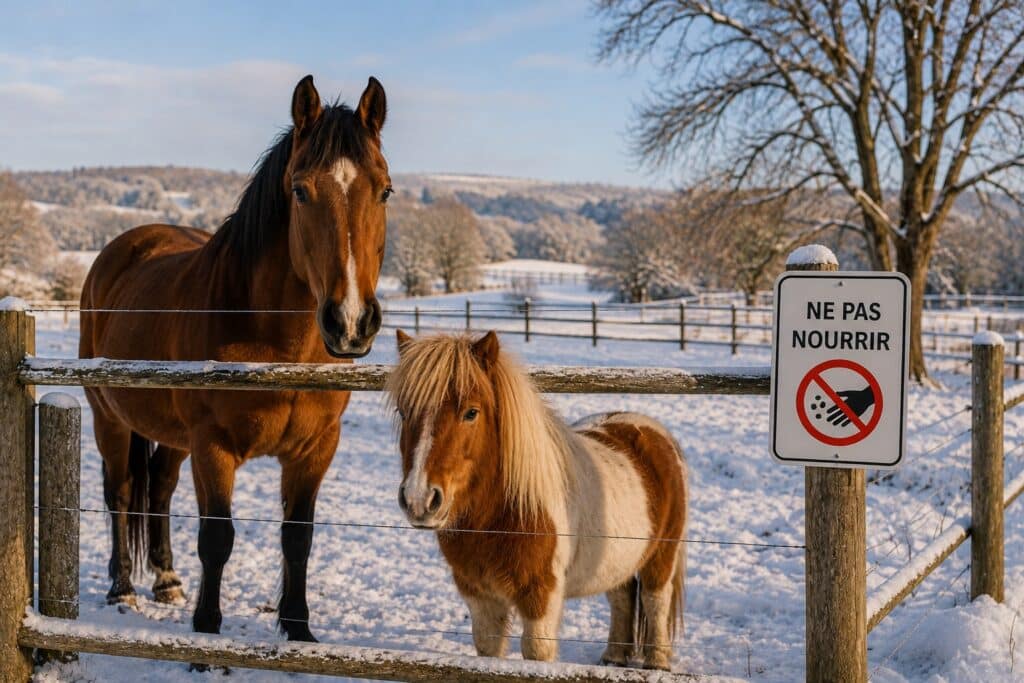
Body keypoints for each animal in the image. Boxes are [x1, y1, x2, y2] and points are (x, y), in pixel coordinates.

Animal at [79, 74, 390, 642]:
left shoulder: (315, 449)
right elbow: (217, 538)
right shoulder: (214, 446)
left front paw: (299, 631)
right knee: (121, 492)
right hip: (109, 418)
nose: (351, 321)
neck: (283, 351)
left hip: (172, 437)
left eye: (385, 190)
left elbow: (298, 537)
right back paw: (123, 589)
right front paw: (206, 631)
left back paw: (167, 581)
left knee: (159, 490)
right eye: (300, 190)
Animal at [386, 330, 688, 671]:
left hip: (662, 556)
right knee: (622, 597)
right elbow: (488, 651)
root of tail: (655, 433)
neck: (503, 517)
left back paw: (657, 663)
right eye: (403, 412)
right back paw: (613, 659)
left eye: (471, 412)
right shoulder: (480, 597)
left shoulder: (541, 598)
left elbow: (535, 654)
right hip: (618, 560)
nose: (419, 499)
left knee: (655, 600)